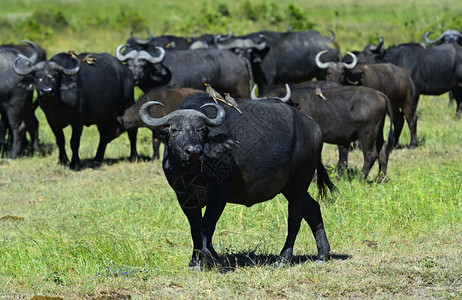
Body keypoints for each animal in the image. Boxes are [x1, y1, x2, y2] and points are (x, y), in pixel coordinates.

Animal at [139, 93, 338, 268]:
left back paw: (283, 259)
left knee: (294, 219)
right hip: (290, 187)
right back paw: (323, 255)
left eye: (201, 130)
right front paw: (196, 260)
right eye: (175, 129)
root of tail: (313, 127)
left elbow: (207, 225)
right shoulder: (184, 197)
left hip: (299, 182)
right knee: (313, 209)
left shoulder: (220, 195)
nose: (194, 151)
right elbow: (195, 227)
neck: (193, 173)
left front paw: (208, 257)